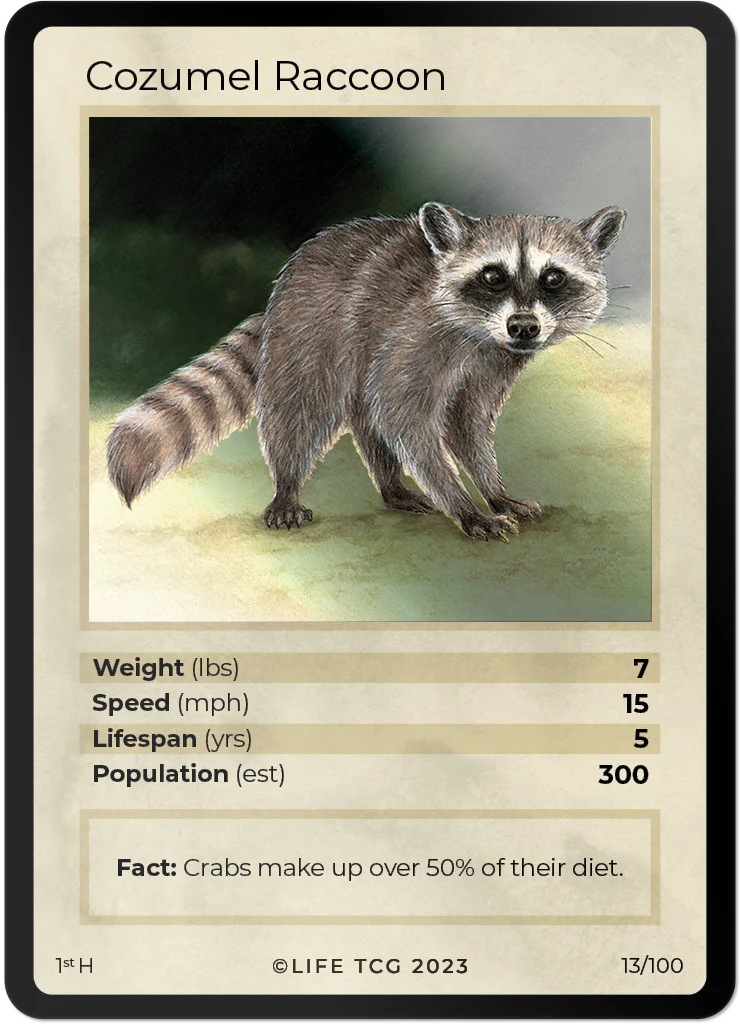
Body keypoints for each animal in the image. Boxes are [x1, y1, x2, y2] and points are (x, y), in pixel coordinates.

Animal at [107, 202, 625, 539]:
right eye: (493, 275)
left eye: (553, 277)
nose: (524, 327)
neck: (481, 334)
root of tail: (287, 280)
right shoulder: (416, 336)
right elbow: (405, 416)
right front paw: (463, 505)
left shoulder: (493, 362)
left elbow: (466, 424)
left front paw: (493, 490)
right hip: (312, 331)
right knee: (301, 410)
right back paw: (287, 485)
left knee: (367, 415)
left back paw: (391, 485)